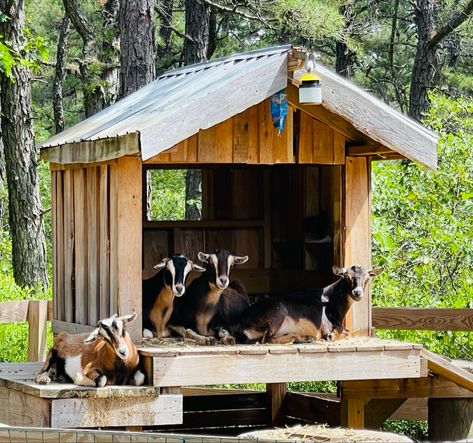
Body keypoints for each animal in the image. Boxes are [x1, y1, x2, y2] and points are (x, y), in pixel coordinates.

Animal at [238, 266, 382, 346]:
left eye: (367, 278)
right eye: (346, 276)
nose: (357, 292)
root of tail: (243, 322)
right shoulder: (328, 327)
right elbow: (346, 333)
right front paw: (331, 336)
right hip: (277, 314)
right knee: (266, 339)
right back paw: (298, 338)